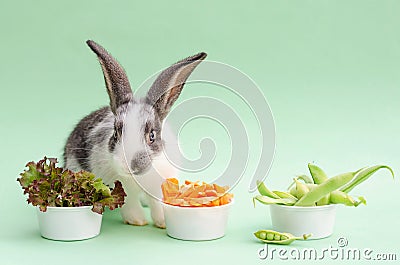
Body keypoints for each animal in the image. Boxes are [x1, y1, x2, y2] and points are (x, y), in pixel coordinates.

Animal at [63, 39, 206, 227]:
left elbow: (157, 203)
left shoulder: (158, 187)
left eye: (152, 135)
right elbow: (129, 202)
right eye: (116, 134)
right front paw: (137, 220)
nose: (131, 165)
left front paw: (163, 222)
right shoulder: (122, 188)